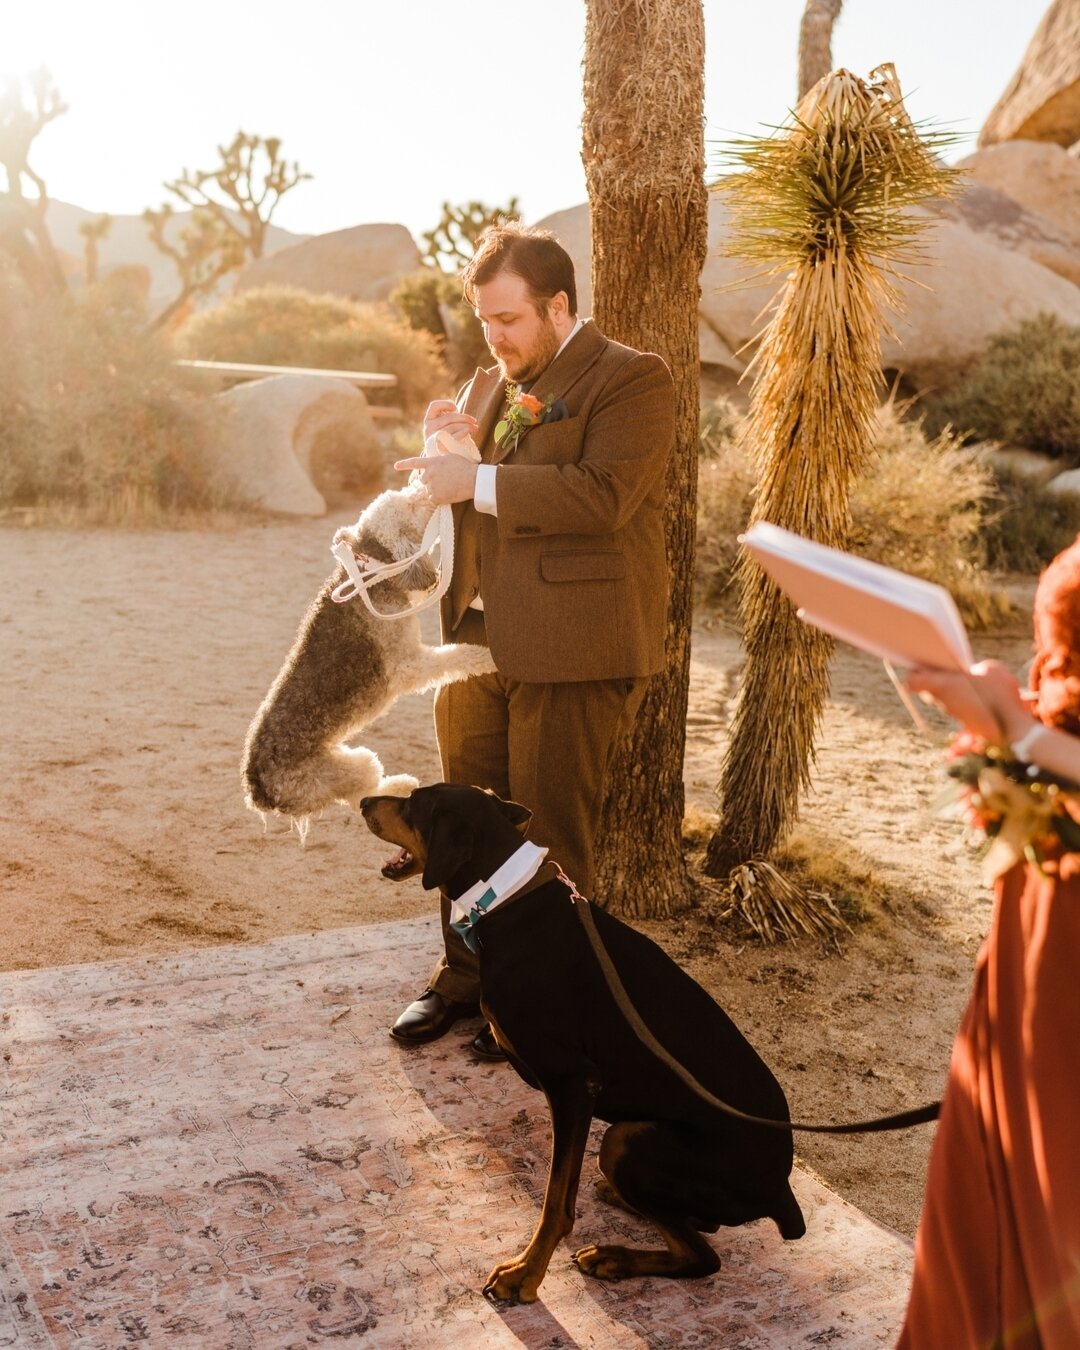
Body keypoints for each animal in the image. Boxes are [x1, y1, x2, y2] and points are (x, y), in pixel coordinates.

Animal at [361, 788, 799, 1301]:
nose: (365, 800)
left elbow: (556, 1202)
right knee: (698, 1227)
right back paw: (621, 1205)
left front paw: (525, 1274)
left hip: (624, 1139)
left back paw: (614, 1256)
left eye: (413, 802)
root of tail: (781, 1190)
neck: (504, 898)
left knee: (703, 1256)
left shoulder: (574, 1084)